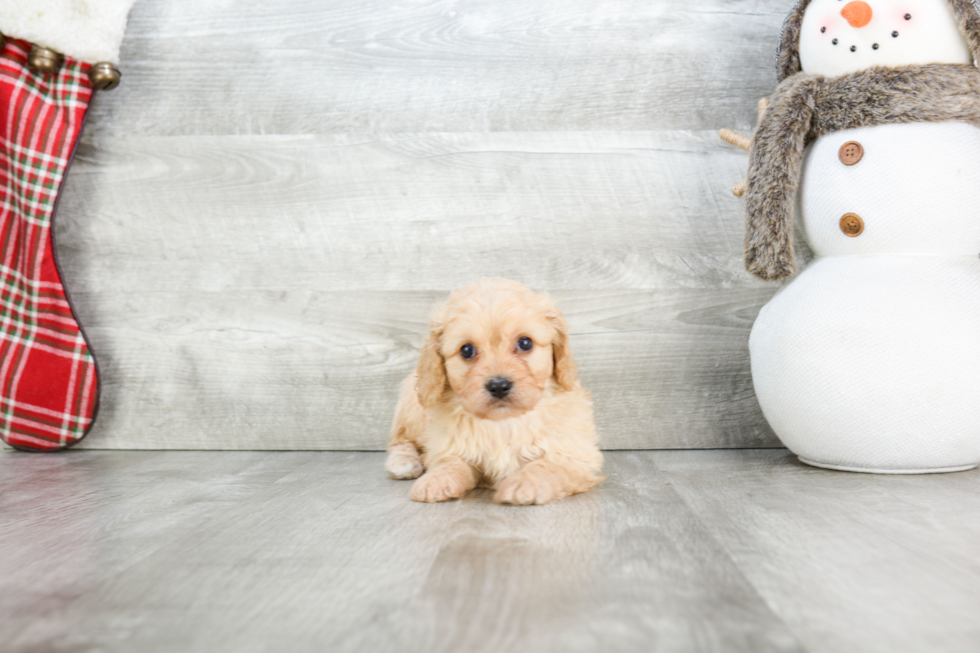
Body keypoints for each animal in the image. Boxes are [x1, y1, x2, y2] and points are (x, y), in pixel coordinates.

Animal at [384, 278, 600, 506]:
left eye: (525, 342)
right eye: (466, 350)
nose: (498, 386)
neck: (503, 423)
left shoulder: (577, 455)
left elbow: (547, 466)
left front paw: (523, 484)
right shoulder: (452, 446)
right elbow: (450, 462)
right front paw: (436, 479)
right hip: (413, 407)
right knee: (400, 438)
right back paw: (404, 462)